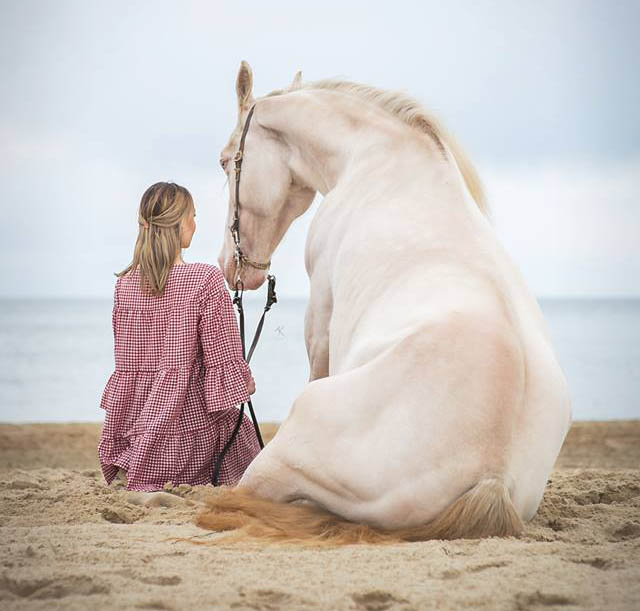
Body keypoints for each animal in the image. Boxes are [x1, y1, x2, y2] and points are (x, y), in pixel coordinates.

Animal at [200, 59, 568, 544]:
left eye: (226, 161)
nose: (230, 265)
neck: (374, 157)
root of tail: (491, 478)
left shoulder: (321, 309)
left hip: (285, 446)